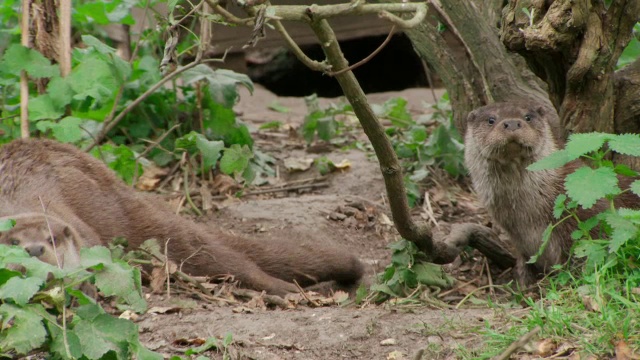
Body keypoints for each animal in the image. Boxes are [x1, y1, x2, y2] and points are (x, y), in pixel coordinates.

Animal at [0, 138, 362, 296]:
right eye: (13, 242)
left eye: (51, 239)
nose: (34, 250)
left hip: (143, 223)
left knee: (227, 260)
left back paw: (289, 291)